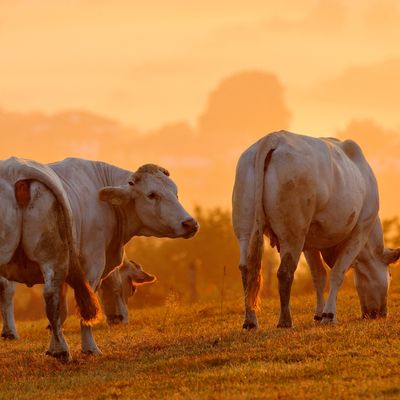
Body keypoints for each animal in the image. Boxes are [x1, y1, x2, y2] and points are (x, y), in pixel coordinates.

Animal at [231, 130, 400, 330]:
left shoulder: (310, 243)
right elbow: (337, 274)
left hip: (245, 229)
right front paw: (329, 315)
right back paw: (285, 321)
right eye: (390, 274)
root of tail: (273, 138)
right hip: (292, 233)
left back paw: (250, 321)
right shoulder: (359, 231)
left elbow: (318, 276)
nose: (381, 314)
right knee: (284, 272)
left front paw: (319, 314)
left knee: (246, 269)